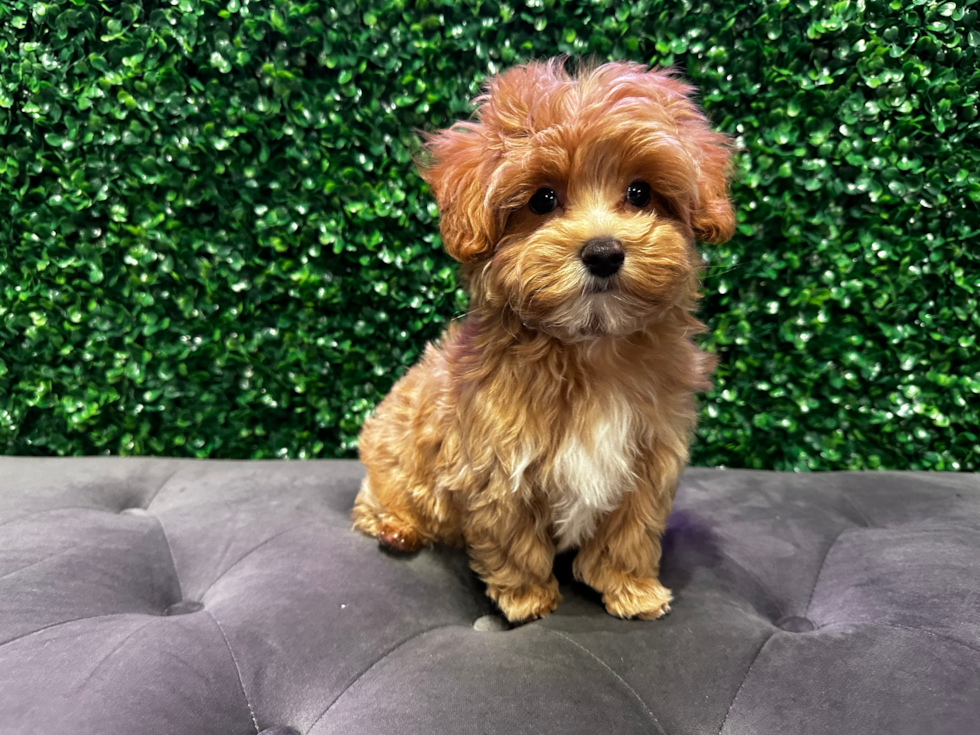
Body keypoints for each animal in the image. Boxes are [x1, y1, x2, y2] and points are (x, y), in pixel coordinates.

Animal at [354, 60, 736, 624]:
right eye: (543, 199)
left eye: (640, 193)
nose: (603, 252)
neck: (588, 346)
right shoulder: (495, 461)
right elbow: (511, 535)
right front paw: (526, 600)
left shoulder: (649, 457)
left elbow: (630, 530)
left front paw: (632, 588)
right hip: (392, 454)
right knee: (379, 496)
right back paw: (396, 528)